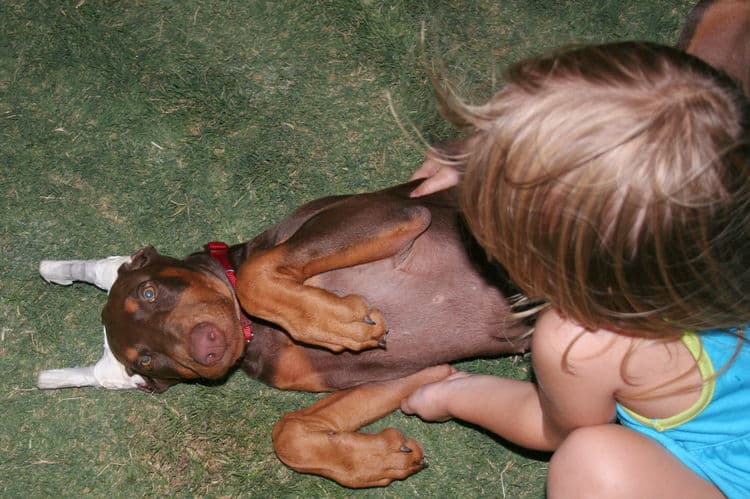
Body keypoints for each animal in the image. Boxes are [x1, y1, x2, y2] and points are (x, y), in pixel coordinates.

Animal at [103, 181, 532, 488]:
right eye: (146, 358)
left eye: (148, 292)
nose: (205, 346)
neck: (258, 334)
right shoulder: (400, 371)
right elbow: (287, 431)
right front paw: (381, 459)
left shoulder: (390, 213)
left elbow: (254, 274)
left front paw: (341, 322)